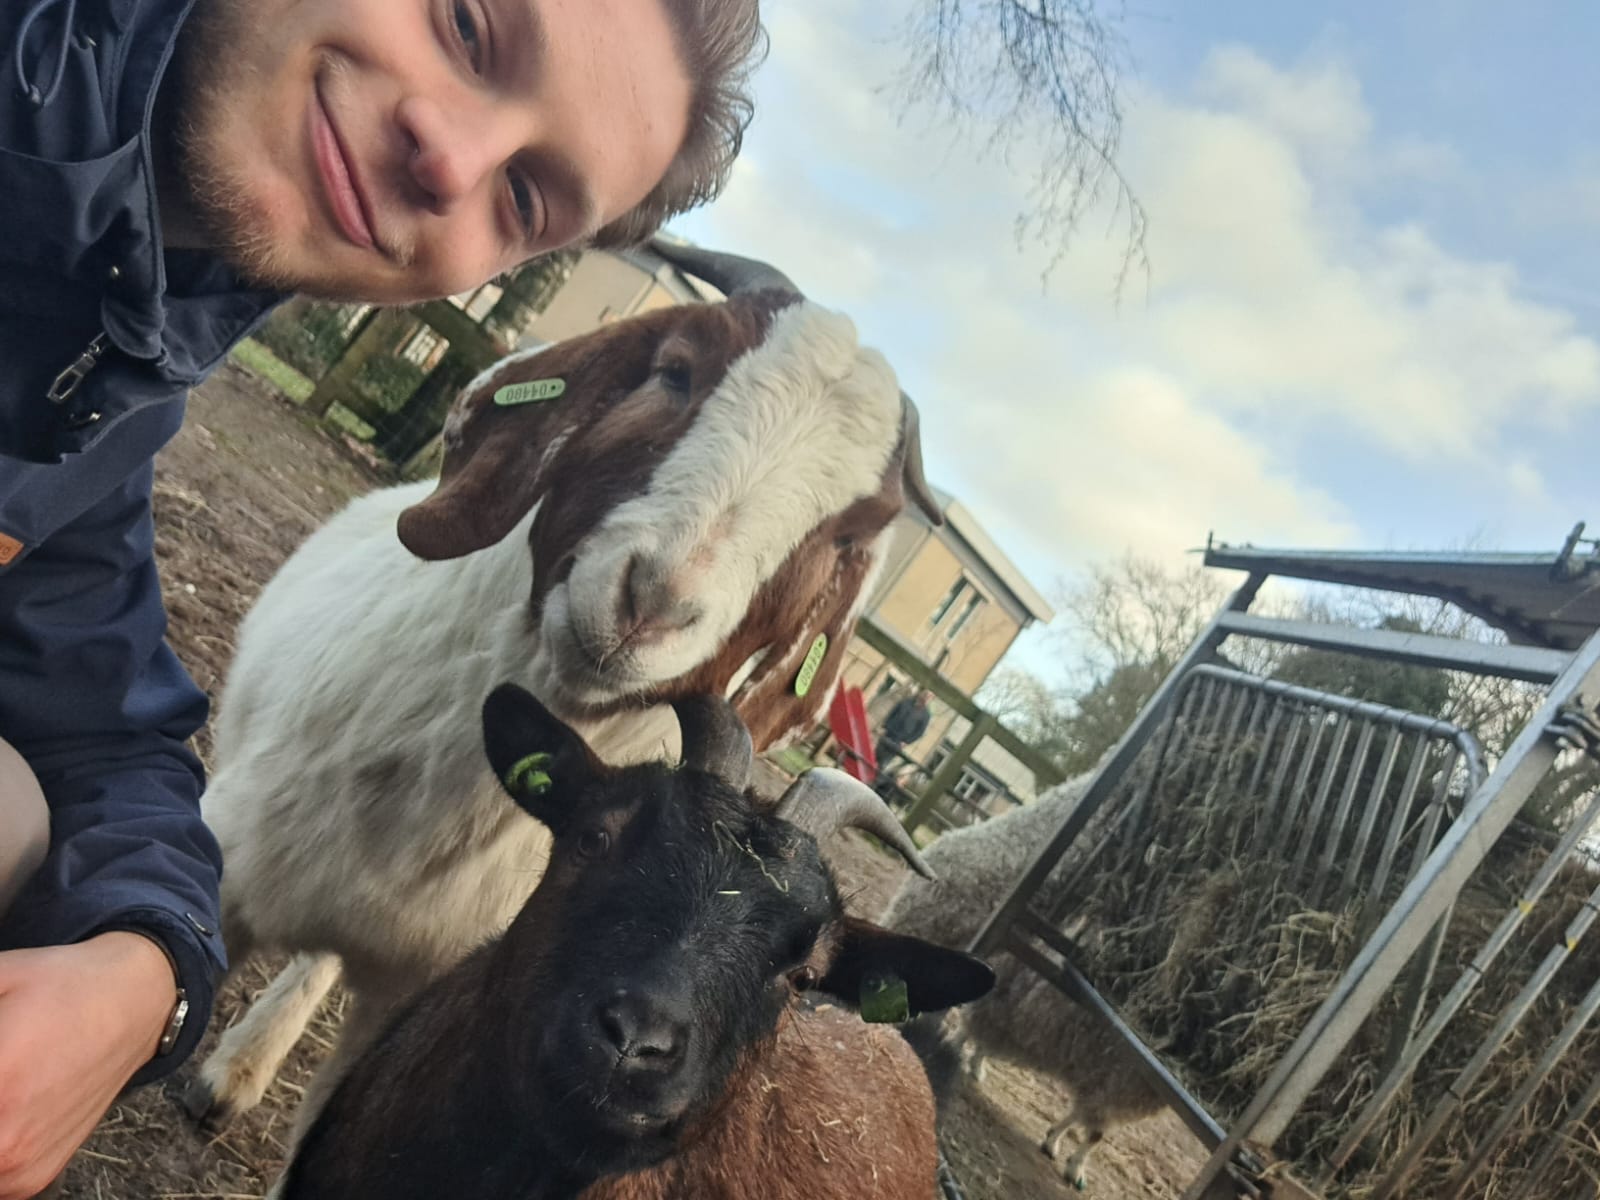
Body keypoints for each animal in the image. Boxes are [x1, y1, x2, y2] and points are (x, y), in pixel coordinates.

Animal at [882, 773, 1167, 1192]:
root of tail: (945, 841)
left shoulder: (1108, 1085)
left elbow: (1091, 1127)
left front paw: (1059, 1147)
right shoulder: (1109, 1080)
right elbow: (1094, 1131)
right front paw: (1070, 1163)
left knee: (973, 1031)